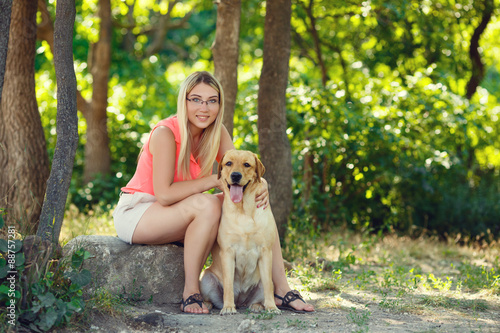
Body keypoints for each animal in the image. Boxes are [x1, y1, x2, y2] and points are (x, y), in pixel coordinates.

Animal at [200, 150, 282, 314]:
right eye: (229, 163)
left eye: (246, 164)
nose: (236, 175)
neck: (244, 210)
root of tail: (241, 301)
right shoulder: (228, 252)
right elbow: (228, 285)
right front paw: (228, 307)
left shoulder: (265, 251)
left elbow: (268, 287)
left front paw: (272, 307)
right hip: (206, 277)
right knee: (213, 297)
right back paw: (207, 304)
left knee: (265, 289)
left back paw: (257, 305)